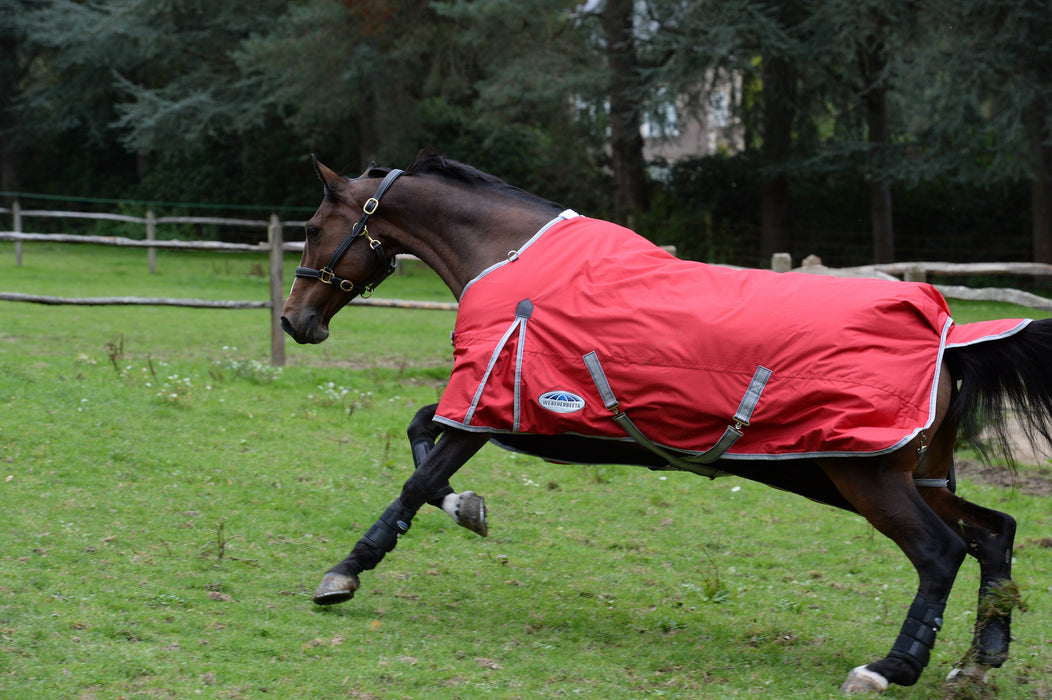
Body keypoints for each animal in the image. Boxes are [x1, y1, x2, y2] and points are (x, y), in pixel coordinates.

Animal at [279, 150, 1052, 690]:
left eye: (313, 229)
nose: (294, 321)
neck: (507, 260)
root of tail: (949, 337)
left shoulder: (485, 408)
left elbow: (413, 479)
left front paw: (345, 573)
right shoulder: (502, 414)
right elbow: (418, 437)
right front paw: (467, 507)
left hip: (869, 481)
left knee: (940, 553)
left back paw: (890, 667)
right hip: (895, 476)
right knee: (993, 534)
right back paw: (977, 662)